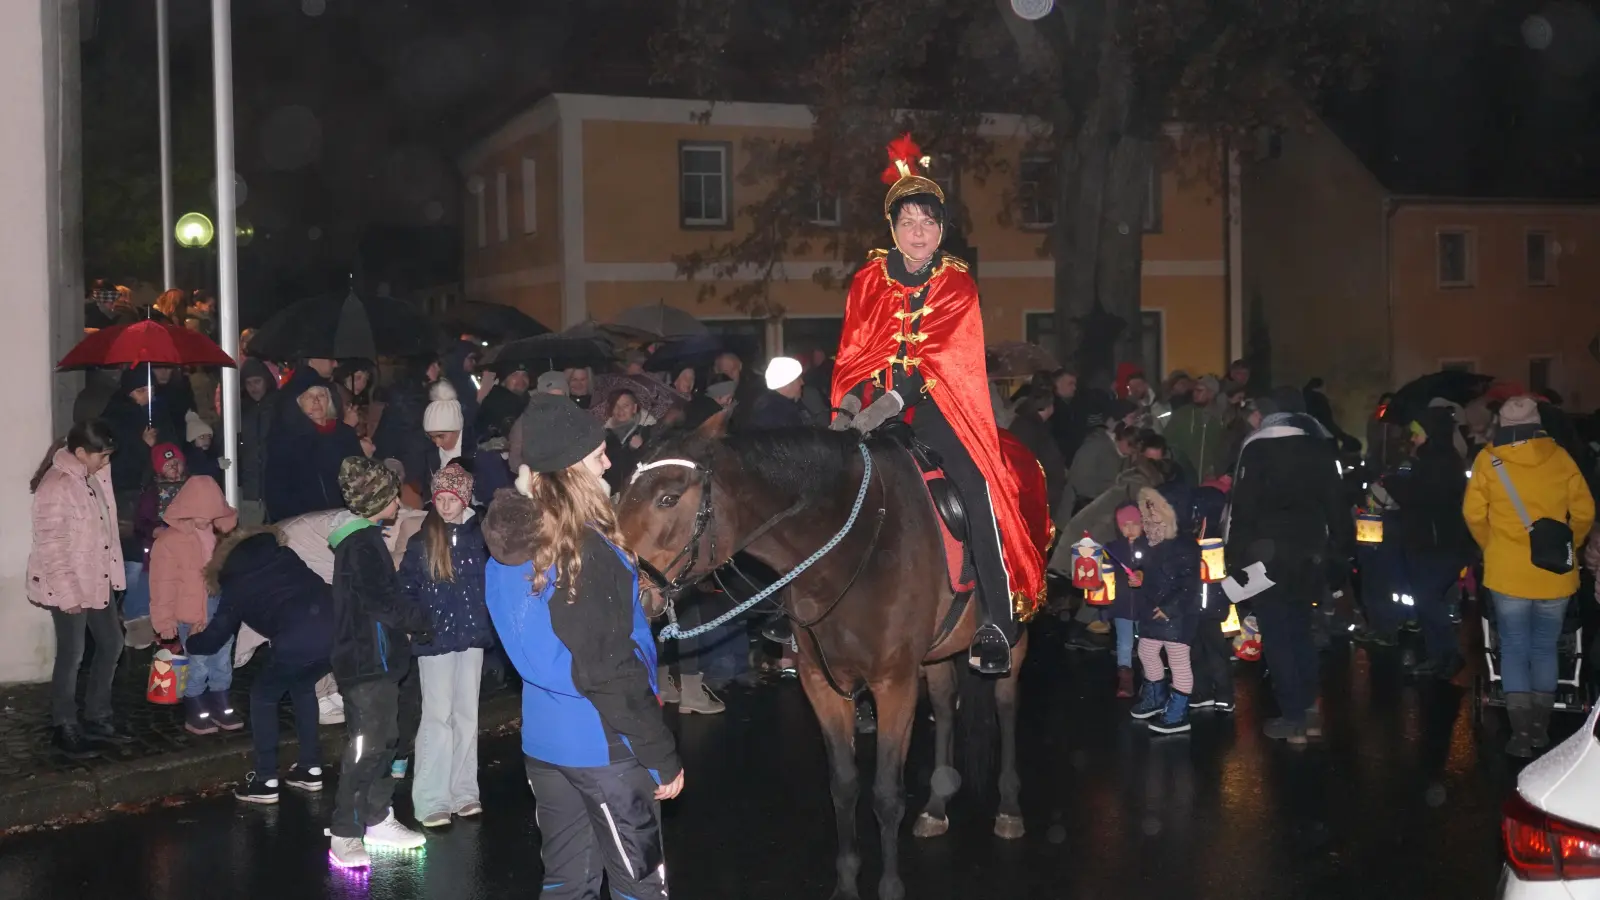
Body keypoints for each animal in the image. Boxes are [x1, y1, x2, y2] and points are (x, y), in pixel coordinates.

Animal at [611, 413, 1024, 896]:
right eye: (621, 492)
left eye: (668, 498)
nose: (623, 584)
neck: (850, 550)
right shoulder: (822, 684)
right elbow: (843, 786)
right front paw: (846, 883)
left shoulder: (894, 684)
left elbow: (886, 793)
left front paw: (889, 886)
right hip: (936, 653)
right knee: (943, 701)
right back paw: (937, 805)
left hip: (1013, 633)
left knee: (1006, 706)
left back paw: (1009, 807)